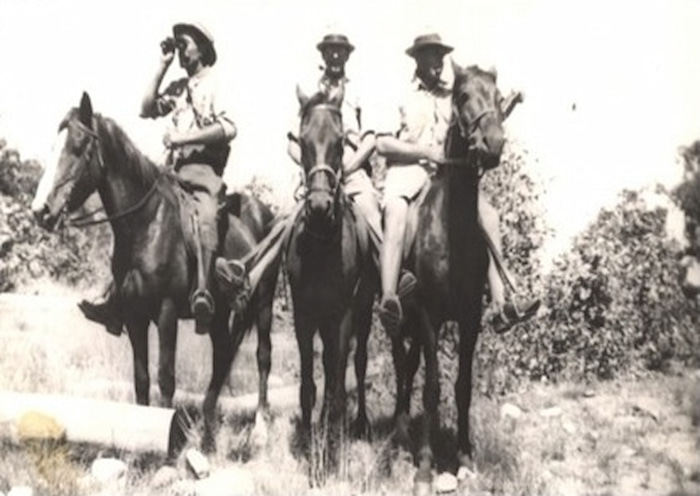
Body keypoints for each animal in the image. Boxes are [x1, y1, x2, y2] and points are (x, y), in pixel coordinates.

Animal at [31, 92, 278, 450]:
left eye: (78, 147)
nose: (41, 211)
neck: (147, 224)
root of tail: (265, 213)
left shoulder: (166, 312)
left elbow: (166, 377)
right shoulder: (135, 315)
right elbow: (142, 378)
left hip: (264, 303)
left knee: (262, 357)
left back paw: (259, 427)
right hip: (218, 314)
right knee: (221, 358)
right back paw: (208, 432)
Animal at [389, 65, 507, 495]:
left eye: (498, 96)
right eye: (462, 95)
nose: (493, 143)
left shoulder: (469, 318)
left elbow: (462, 387)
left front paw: (465, 459)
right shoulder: (429, 316)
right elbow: (432, 387)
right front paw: (425, 467)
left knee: (408, 368)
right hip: (398, 319)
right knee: (403, 369)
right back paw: (400, 436)